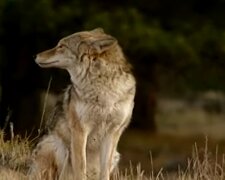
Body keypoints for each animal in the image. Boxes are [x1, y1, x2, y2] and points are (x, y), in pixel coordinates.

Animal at [29, 28, 135, 180]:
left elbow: (104, 171)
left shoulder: (112, 132)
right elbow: (80, 167)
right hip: (56, 146)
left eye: (61, 46)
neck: (103, 91)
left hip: (115, 155)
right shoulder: (80, 129)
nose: (34, 55)